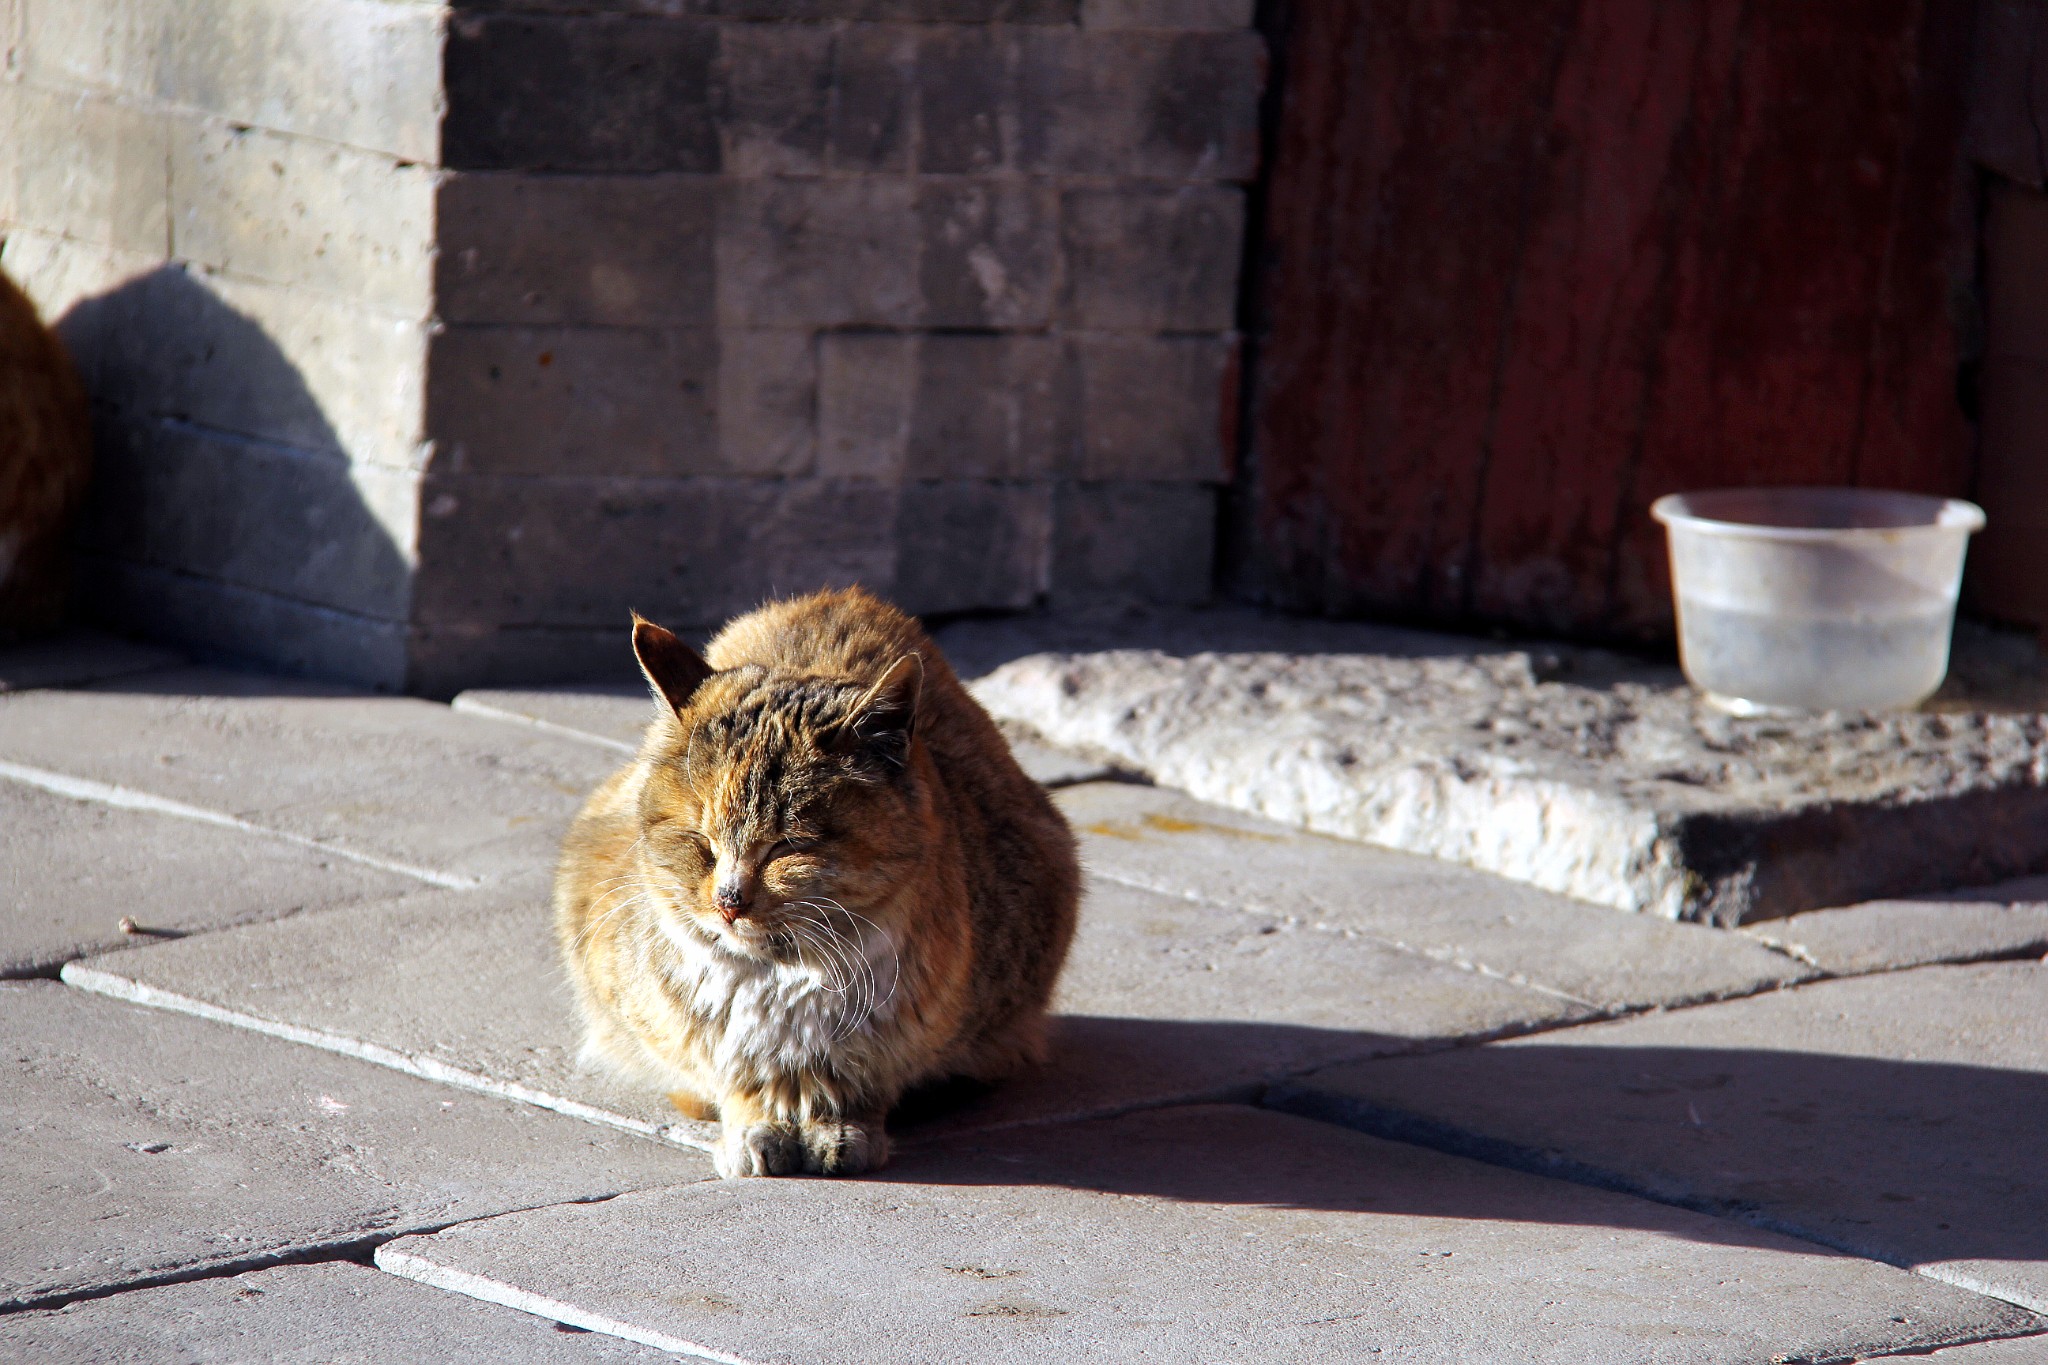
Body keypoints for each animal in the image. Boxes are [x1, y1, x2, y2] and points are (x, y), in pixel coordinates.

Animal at [552, 589, 1081, 1178]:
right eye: (701, 840)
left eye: (787, 845)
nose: (729, 901)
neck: (785, 978)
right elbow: (736, 1078)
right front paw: (754, 1129)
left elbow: (860, 1083)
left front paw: (841, 1128)